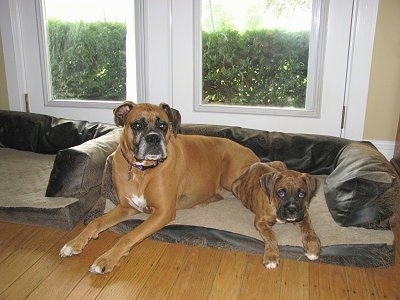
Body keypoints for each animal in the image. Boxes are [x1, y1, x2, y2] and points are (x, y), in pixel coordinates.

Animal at [59, 101, 260, 274]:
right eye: (137, 125)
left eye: (163, 125)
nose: (154, 138)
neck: (141, 171)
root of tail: (252, 153)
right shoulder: (126, 207)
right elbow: (96, 222)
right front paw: (74, 243)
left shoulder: (163, 212)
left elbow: (129, 235)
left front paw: (107, 259)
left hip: (232, 179)